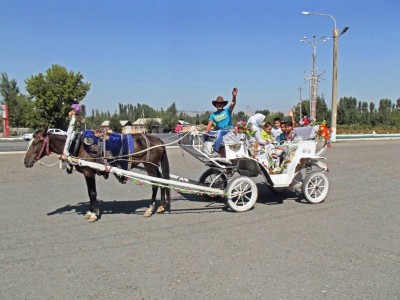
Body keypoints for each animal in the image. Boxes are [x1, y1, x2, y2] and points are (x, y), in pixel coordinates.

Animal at [23, 127, 170, 221]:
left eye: (36, 142)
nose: (26, 162)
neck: (76, 145)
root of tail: (158, 141)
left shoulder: (89, 172)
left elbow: (92, 193)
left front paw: (93, 213)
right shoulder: (88, 173)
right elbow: (91, 193)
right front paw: (92, 211)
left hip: (150, 166)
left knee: (155, 184)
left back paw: (150, 209)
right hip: (153, 167)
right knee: (163, 181)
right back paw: (161, 206)